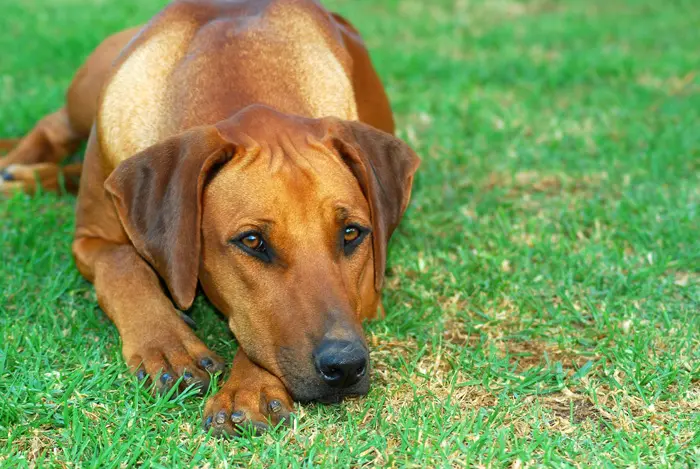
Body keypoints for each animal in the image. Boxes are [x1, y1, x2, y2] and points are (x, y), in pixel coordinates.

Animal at [0, 0, 418, 436]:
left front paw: (249, 387)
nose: (346, 365)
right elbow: (123, 265)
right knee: (53, 128)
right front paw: (167, 344)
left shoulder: (369, 292)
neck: (238, 63)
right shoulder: (90, 238)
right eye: (251, 241)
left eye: (352, 233)